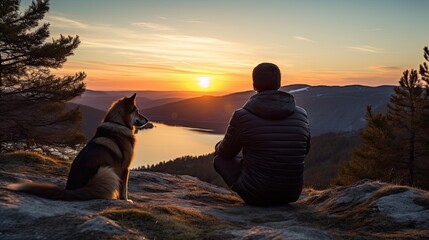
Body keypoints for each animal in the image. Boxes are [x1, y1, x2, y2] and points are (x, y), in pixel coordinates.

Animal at [5, 93, 147, 201]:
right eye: (137, 111)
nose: (147, 120)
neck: (118, 123)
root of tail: (70, 190)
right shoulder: (125, 168)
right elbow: (124, 188)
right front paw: (125, 200)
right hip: (106, 173)